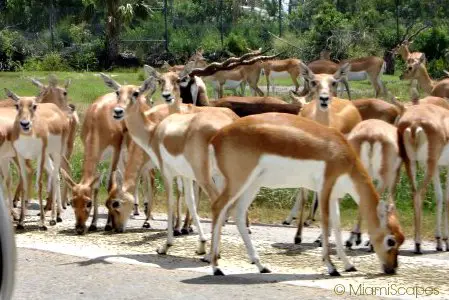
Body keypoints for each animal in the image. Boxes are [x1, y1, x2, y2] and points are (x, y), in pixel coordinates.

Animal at [3, 89, 69, 230]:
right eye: (17, 105)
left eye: (34, 106)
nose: (25, 124)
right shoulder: (20, 156)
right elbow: (23, 185)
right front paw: (21, 221)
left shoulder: (40, 155)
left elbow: (39, 184)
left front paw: (42, 222)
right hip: (48, 156)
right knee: (54, 175)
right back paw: (57, 215)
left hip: (56, 153)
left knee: (56, 176)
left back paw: (54, 218)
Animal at [205, 113, 404, 276]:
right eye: (391, 240)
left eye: (402, 239)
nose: (392, 269)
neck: (341, 151)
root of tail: (215, 139)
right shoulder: (324, 189)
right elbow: (326, 223)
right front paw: (332, 267)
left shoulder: (334, 195)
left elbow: (337, 225)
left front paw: (348, 265)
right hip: (239, 181)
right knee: (218, 207)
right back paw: (216, 267)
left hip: (252, 185)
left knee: (237, 213)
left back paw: (261, 266)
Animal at [398, 104, 449, 254]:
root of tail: (414, 124)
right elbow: (447, 199)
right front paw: (446, 242)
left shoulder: (438, 168)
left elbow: (439, 197)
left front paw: (439, 241)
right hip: (429, 164)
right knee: (419, 193)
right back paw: (418, 244)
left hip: (410, 163)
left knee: (414, 192)